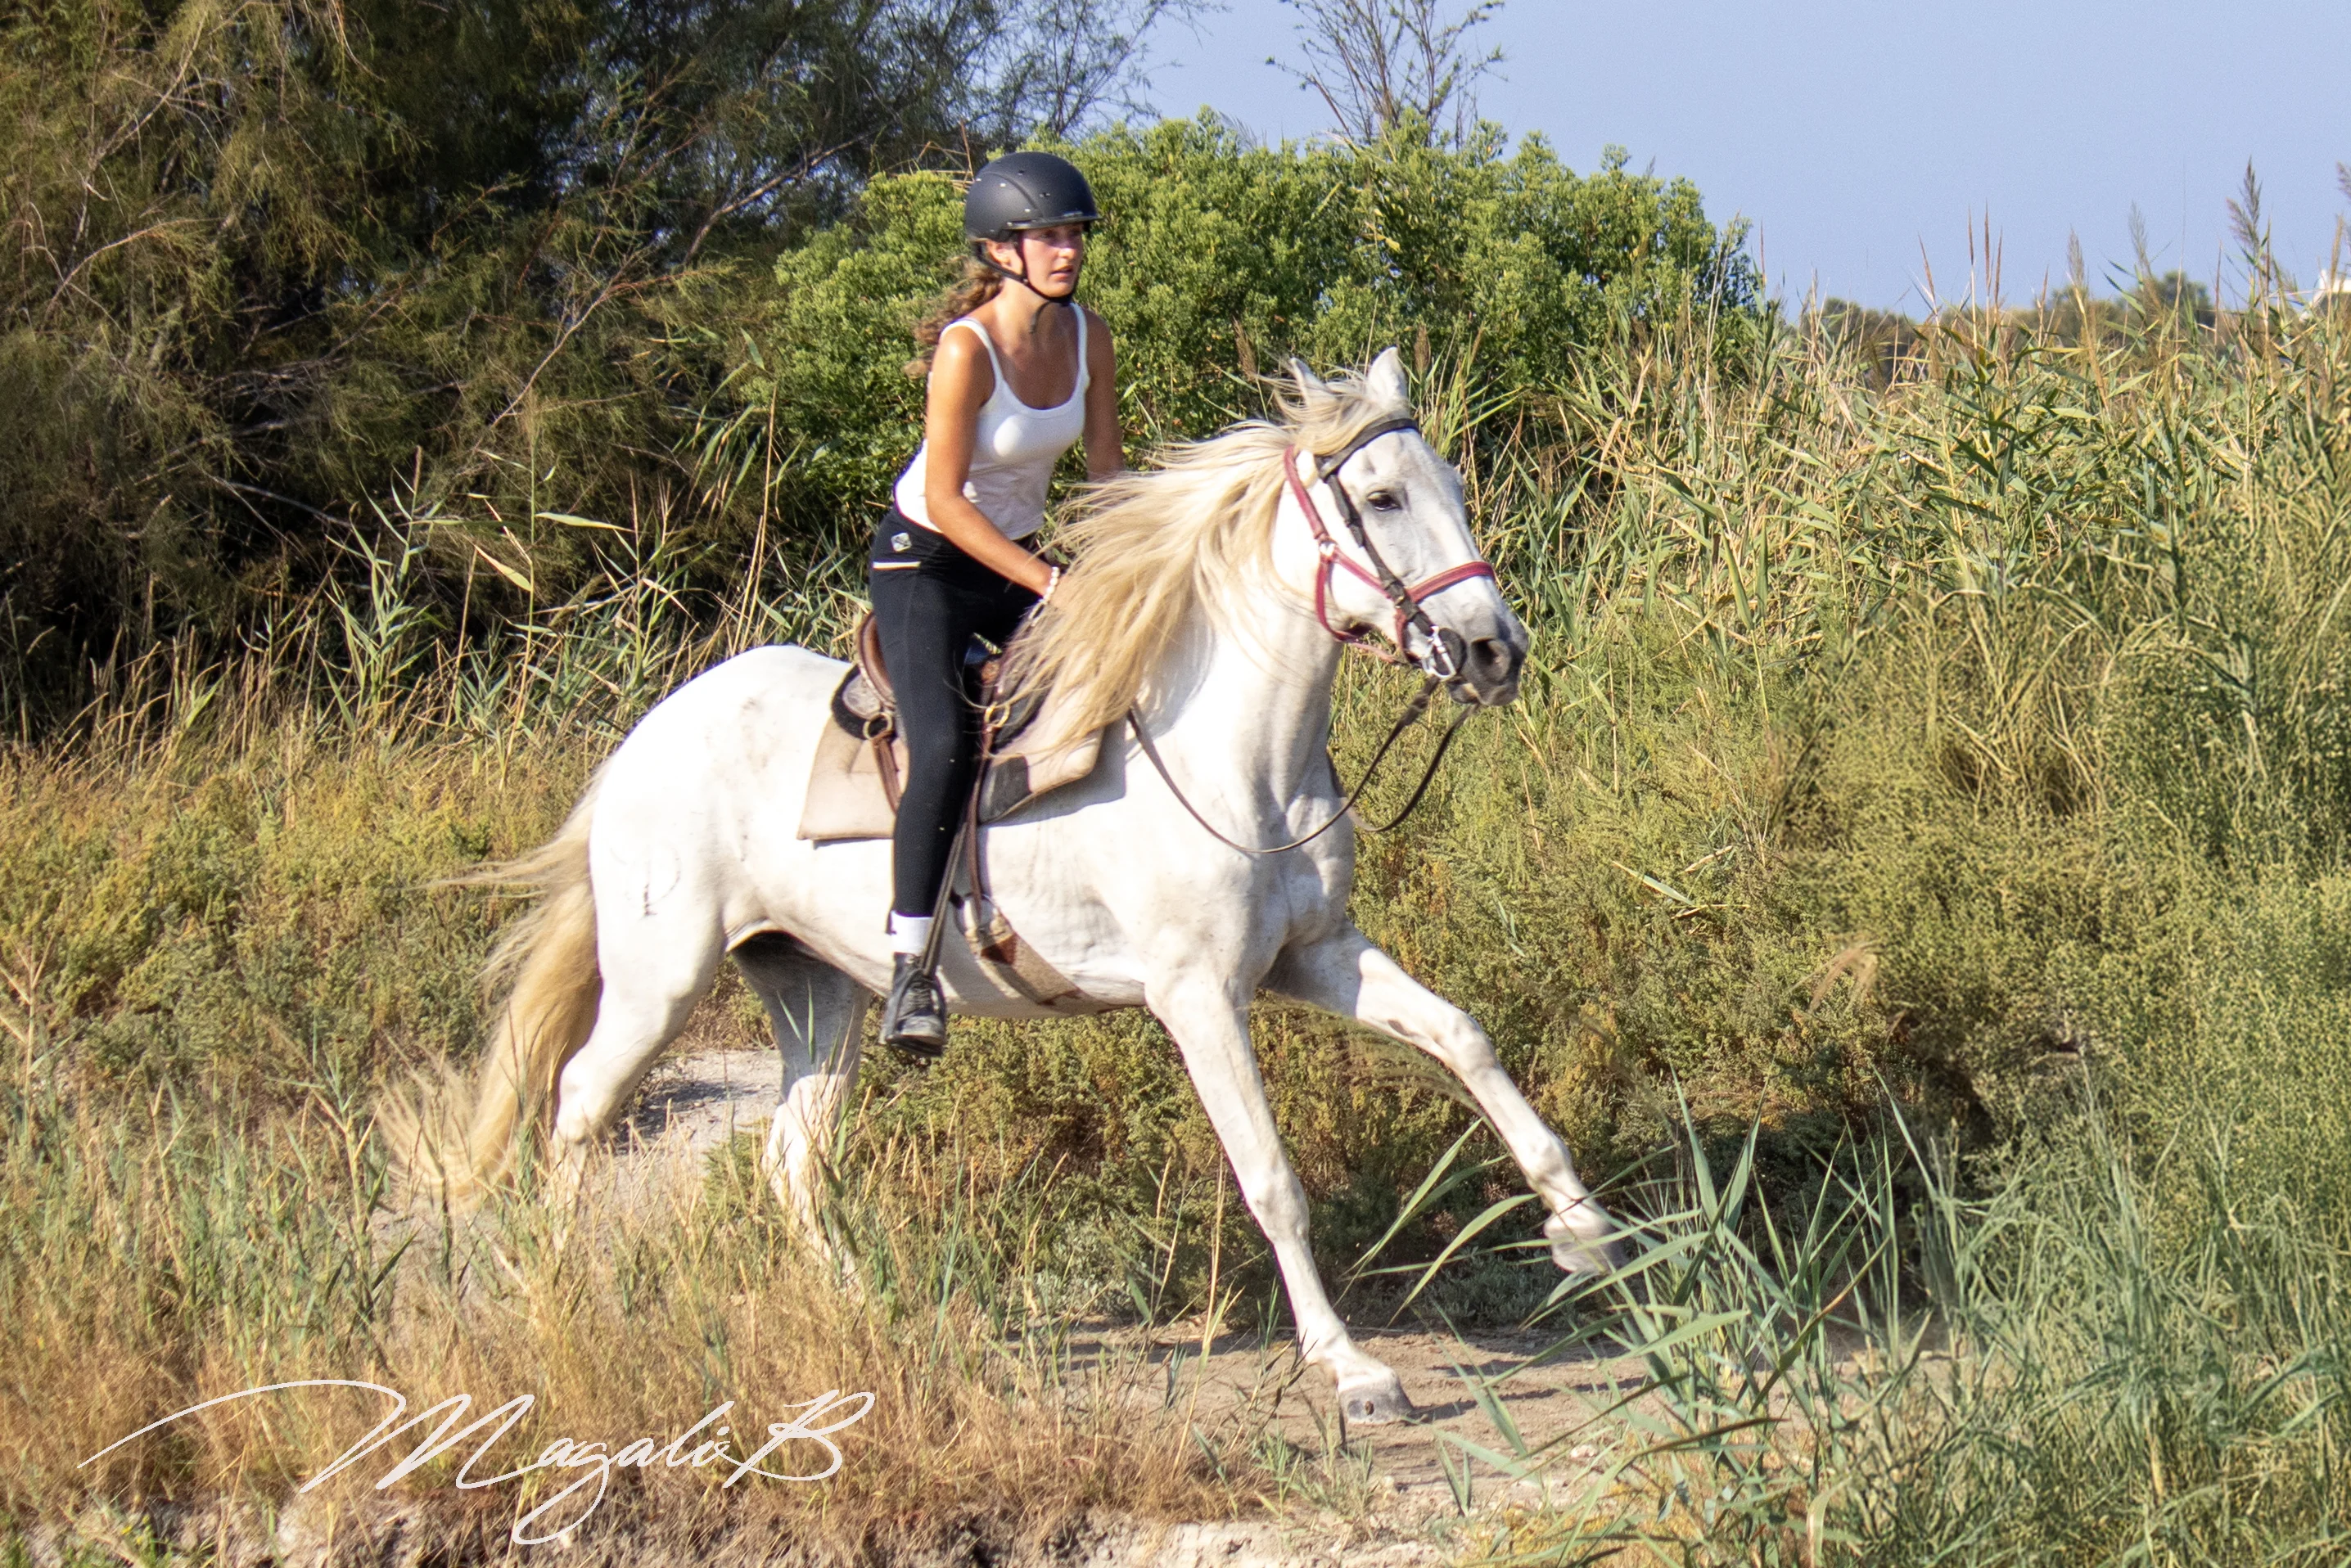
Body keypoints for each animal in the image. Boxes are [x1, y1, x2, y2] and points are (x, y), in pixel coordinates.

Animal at [391, 348, 1619, 1424]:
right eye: (1380, 495)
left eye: (1450, 485)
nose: (1495, 650)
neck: (1238, 757)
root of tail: (645, 736)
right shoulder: (1198, 997)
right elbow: (1269, 1174)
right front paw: (1353, 1369)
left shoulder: (1314, 956)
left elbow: (1463, 1037)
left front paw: (1584, 1228)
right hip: (662, 976)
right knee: (580, 1102)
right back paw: (556, 1301)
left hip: (816, 993)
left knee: (790, 1156)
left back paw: (875, 1313)